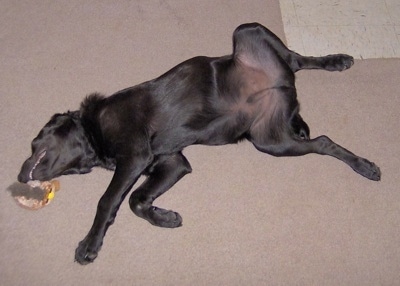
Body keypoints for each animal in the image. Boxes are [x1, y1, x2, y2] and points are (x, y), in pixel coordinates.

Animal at [18, 23, 382, 264]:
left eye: (36, 142)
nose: (20, 177)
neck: (93, 130)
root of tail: (280, 84)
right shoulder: (172, 163)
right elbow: (137, 199)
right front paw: (165, 217)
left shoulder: (134, 157)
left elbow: (108, 201)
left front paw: (90, 244)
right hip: (271, 139)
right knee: (310, 117)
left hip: (247, 32)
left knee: (301, 72)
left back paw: (363, 160)